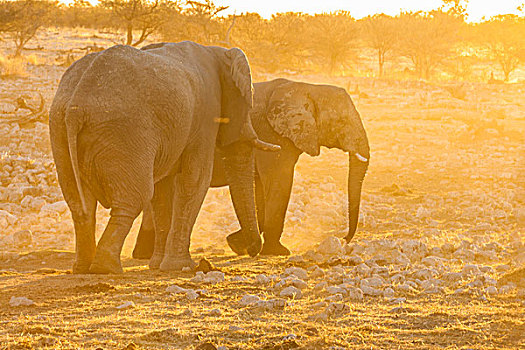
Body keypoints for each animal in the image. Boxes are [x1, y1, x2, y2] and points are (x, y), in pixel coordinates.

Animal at [49, 41, 278, 274]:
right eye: (248, 104)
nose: (250, 250)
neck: (218, 51)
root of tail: (76, 106)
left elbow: (162, 191)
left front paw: (158, 265)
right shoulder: (205, 117)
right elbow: (194, 181)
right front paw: (180, 266)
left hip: (59, 129)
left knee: (80, 204)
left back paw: (83, 268)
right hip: (123, 133)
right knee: (134, 198)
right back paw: (107, 269)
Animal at [133, 78, 370, 260]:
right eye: (341, 122)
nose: (344, 239)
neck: (306, 88)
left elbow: (260, 192)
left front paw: (236, 245)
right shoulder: (271, 135)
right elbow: (278, 183)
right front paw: (277, 252)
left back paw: (143, 255)